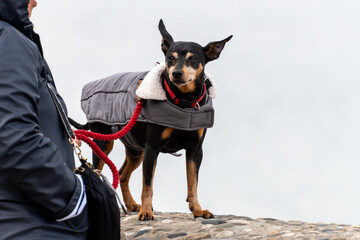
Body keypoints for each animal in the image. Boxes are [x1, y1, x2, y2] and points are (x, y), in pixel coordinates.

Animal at [70, 19, 232, 220]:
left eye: (193, 58)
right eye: (170, 58)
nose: (176, 73)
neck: (183, 102)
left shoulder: (195, 149)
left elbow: (192, 182)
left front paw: (198, 209)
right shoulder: (152, 148)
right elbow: (147, 185)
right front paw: (146, 212)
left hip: (135, 150)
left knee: (122, 174)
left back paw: (131, 204)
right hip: (104, 143)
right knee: (100, 171)